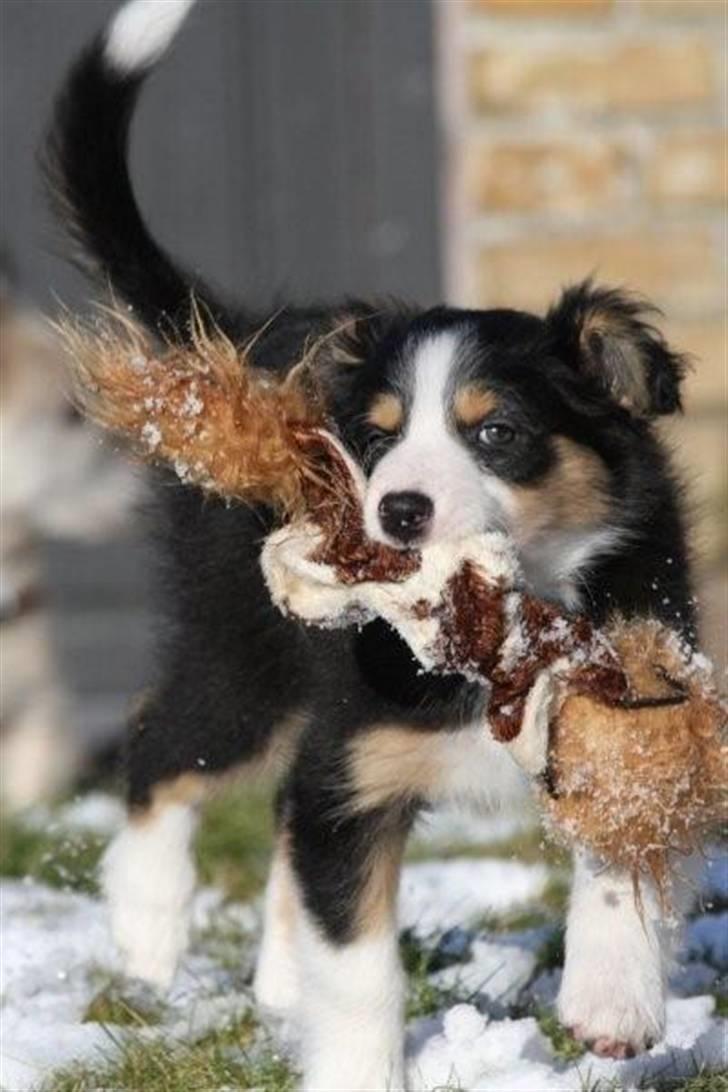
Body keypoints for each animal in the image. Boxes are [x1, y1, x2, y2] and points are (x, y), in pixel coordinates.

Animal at [48, 4, 698, 1087]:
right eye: (377, 438)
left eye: (496, 432)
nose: (396, 512)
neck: (504, 623)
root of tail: (247, 344)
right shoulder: (357, 763)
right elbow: (358, 965)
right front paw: (355, 1062)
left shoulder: (635, 679)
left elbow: (624, 826)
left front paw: (613, 1001)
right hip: (246, 656)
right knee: (160, 748)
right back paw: (147, 930)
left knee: (269, 804)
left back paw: (275, 982)